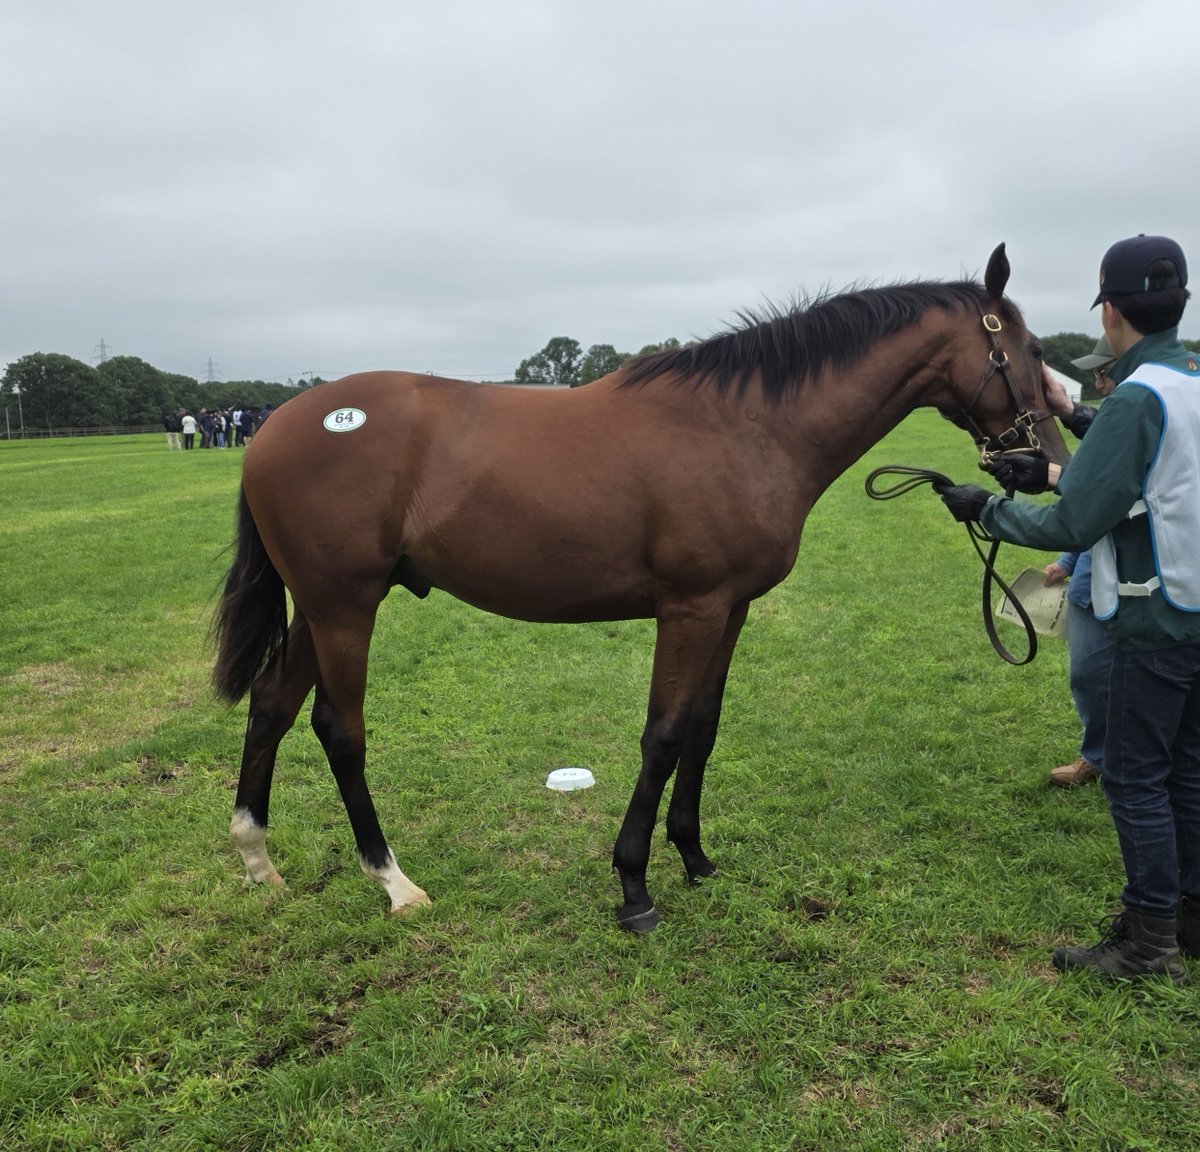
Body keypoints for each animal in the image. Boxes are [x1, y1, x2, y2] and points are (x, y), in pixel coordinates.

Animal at [213, 243, 1069, 933]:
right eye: (1027, 348)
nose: (1047, 460)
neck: (747, 426)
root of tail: (275, 427)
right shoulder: (689, 609)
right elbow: (662, 734)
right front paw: (633, 885)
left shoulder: (730, 608)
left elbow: (703, 727)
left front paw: (694, 857)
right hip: (344, 606)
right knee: (338, 730)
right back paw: (394, 882)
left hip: (320, 610)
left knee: (272, 704)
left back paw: (258, 859)